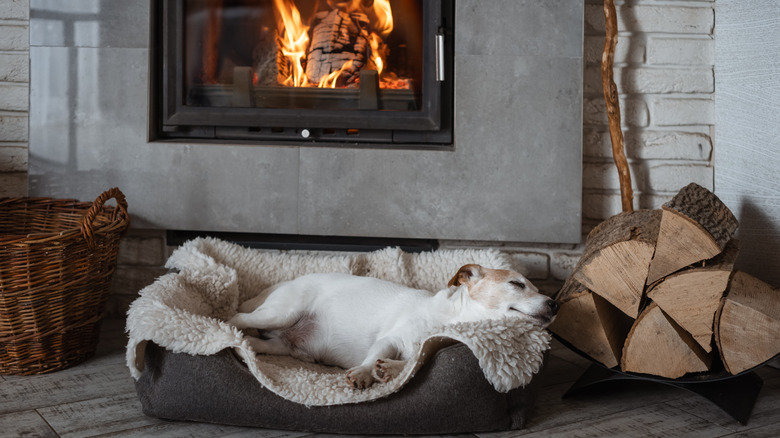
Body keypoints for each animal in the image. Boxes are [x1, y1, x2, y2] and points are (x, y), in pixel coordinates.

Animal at [229, 264, 556, 386]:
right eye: (517, 284)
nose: (554, 303)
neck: (447, 319)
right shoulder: (390, 339)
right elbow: (373, 356)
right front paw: (364, 372)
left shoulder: (424, 350)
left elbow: (410, 362)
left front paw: (389, 369)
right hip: (281, 312)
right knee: (236, 318)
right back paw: (228, 329)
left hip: (282, 346)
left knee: (258, 341)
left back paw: (244, 347)